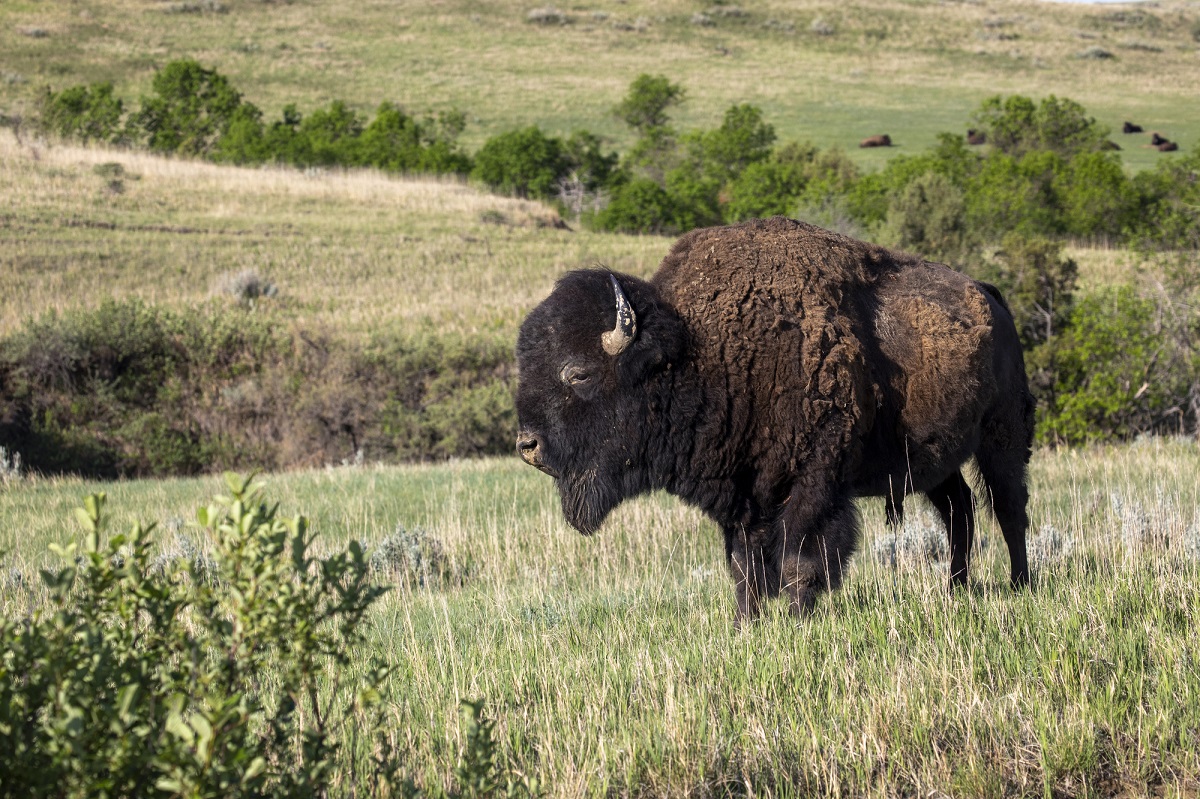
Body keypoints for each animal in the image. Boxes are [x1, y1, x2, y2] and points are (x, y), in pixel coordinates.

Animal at [516, 215, 1032, 623]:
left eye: (578, 373)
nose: (527, 445)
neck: (699, 349)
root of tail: (991, 297)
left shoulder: (811, 483)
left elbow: (799, 559)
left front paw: (799, 618)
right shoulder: (743, 494)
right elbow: (745, 565)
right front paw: (747, 623)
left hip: (1002, 437)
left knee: (1008, 508)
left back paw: (1020, 584)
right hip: (932, 461)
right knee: (959, 510)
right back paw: (955, 589)